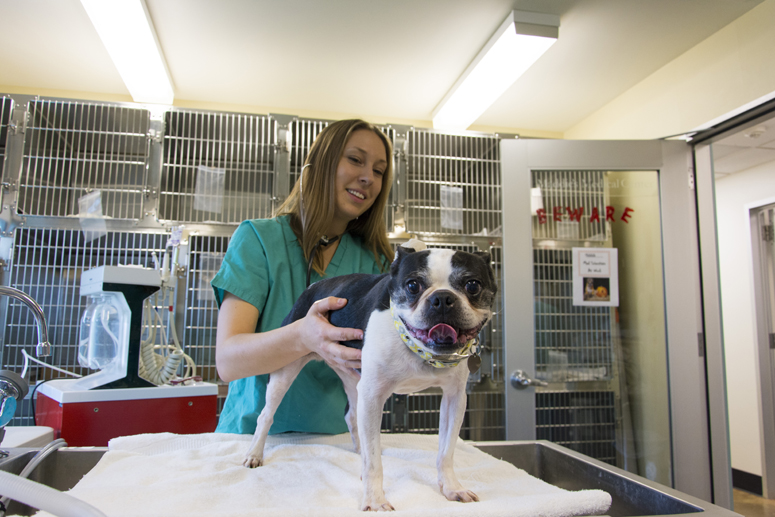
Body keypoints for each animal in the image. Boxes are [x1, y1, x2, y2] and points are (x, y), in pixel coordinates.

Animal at [242, 244, 498, 510]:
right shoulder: (374, 397)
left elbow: (446, 452)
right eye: (412, 285)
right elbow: (374, 463)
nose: (443, 299)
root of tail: (312, 287)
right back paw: (254, 454)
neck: (419, 350)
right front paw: (375, 500)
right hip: (287, 366)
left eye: (472, 285)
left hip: (354, 379)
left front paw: (452, 488)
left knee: (353, 416)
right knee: (266, 415)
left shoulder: (454, 399)